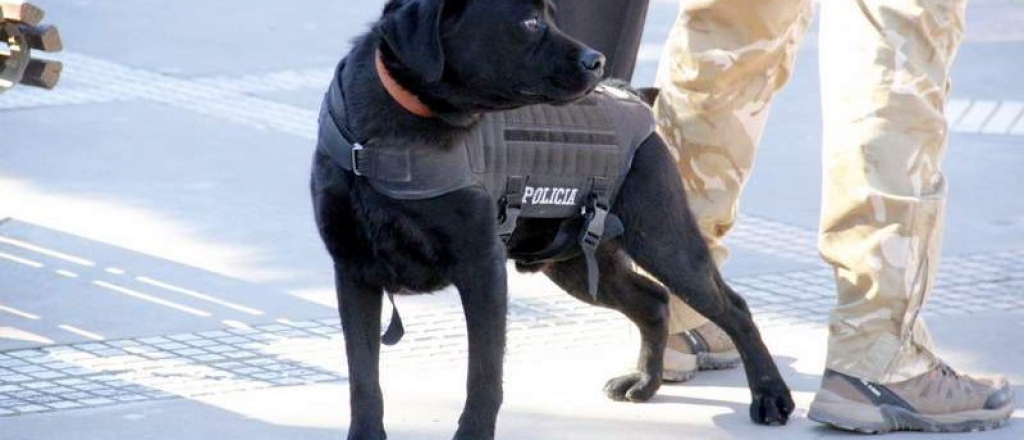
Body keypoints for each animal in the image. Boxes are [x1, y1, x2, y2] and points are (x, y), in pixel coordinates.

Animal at [309, 1, 790, 437]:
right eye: (530, 22)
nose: (596, 59)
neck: (392, 135)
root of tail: (630, 95)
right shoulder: (354, 273)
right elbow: (364, 379)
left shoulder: (482, 270)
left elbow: (483, 379)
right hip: (575, 262)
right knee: (654, 300)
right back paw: (645, 382)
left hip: (663, 239)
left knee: (732, 306)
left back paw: (770, 396)